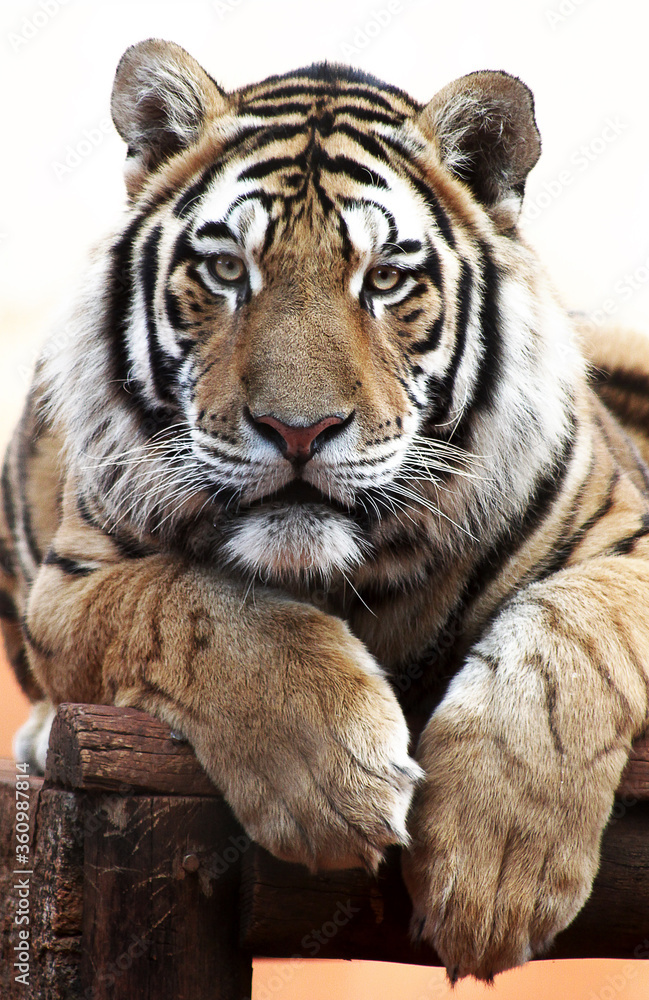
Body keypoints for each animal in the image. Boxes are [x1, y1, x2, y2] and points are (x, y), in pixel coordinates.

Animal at [2, 38, 649, 982]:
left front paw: (495, 872)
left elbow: (571, 647)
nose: (297, 431)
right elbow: (193, 608)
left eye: (384, 279)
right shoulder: (77, 582)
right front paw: (333, 780)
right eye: (226, 270)